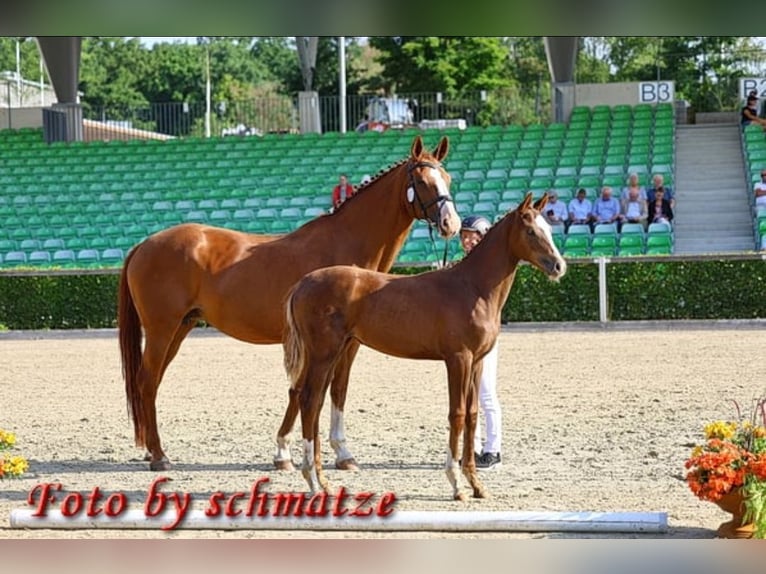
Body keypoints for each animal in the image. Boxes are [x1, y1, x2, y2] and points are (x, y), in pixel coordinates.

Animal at [118, 134, 461, 471]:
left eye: (447, 178)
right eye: (421, 181)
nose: (451, 223)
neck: (347, 247)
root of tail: (143, 244)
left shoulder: (347, 342)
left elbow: (335, 389)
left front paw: (335, 453)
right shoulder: (323, 341)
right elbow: (307, 390)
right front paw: (290, 452)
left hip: (180, 327)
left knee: (152, 382)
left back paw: (150, 450)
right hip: (162, 329)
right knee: (146, 381)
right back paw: (159, 456)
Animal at [281, 192, 566, 500]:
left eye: (548, 228)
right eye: (530, 231)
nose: (559, 266)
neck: (472, 288)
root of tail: (302, 283)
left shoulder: (477, 362)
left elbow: (472, 415)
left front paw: (476, 485)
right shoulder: (458, 359)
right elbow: (457, 414)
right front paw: (456, 484)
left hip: (333, 353)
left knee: (315, 400)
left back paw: (321, 481)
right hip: (323, 353)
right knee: (309, 400)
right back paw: (313, 480)